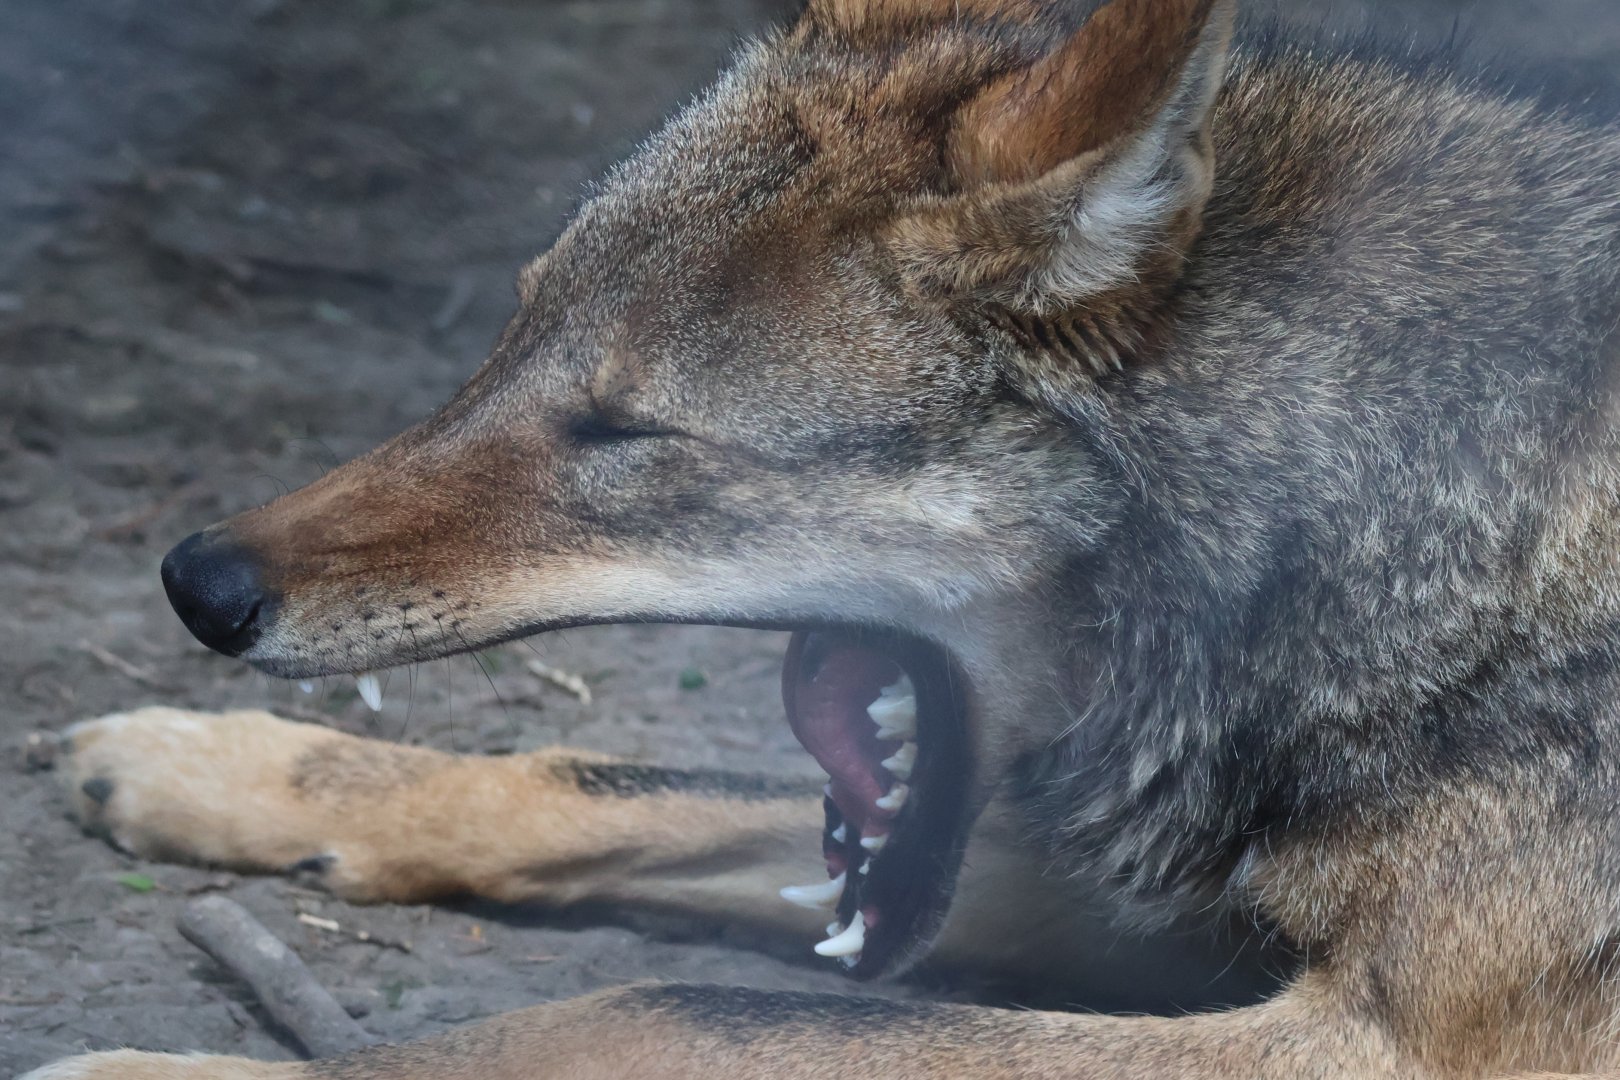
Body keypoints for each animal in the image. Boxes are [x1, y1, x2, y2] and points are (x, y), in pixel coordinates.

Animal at [26, 0, 1620, 1075]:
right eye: (512, 332)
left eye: (622, 431)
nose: (200, 582)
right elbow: (603, 780)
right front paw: (223, 768)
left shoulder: (1391, 1041)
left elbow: (653, 1006)